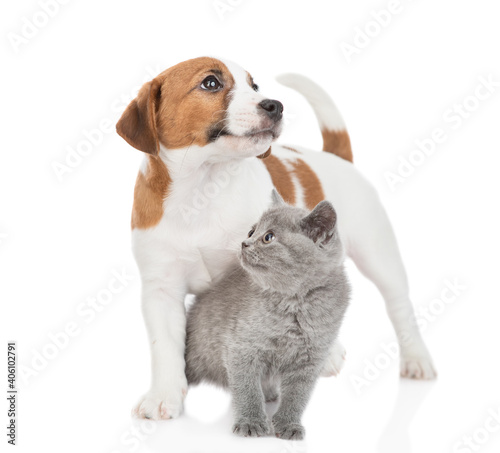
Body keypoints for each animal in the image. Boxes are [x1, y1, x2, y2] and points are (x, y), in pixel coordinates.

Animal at [185, 190, 352, 438]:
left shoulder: (311, 358)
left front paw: (288, 424)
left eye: (269, 237)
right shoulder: (241, 348)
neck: (295, 303)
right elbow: (247, 388)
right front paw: (251, 422)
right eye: (251, 231)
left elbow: (297, 396)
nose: (244, 243)